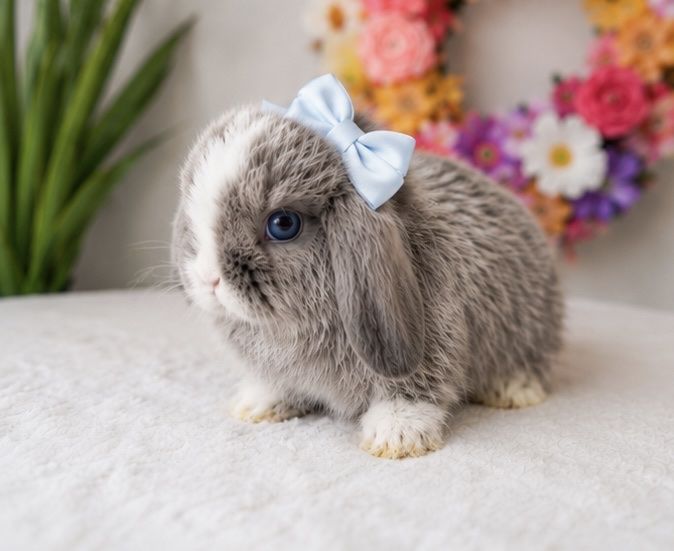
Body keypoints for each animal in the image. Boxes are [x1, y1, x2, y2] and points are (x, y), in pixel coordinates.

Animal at [172, 101, 563, 460]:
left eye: (283, 224)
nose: (208, 278)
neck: (293, 328)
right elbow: (277, 385)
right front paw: (258, 406)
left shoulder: (432, 340)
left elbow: (414, 389)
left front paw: (398, 436)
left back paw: (514, 389)